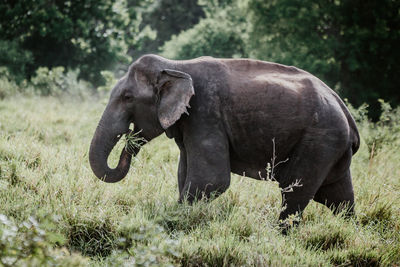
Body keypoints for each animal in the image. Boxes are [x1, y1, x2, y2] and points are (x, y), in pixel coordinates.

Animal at [89, 54, 360, 226]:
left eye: (127, 97)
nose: (130, 139)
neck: (175, 65)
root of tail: (347, 115)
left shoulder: (206, 113)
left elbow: (211, 179)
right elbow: (185, 174)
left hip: (320, 140)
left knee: (295, 192)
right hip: (330, 147)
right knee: (338, 198)